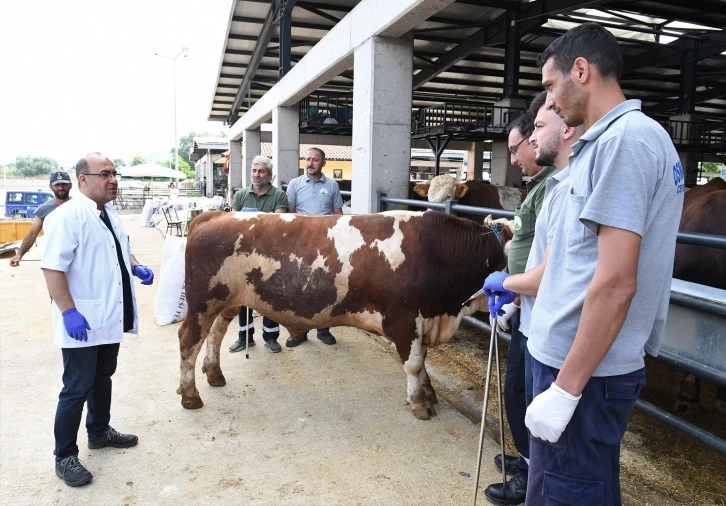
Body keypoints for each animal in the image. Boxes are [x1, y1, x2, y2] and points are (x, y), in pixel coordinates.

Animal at [177, 210, 506, 420]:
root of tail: (217, 214)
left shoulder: (422, 320)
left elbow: (423, 360)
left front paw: (429, 393)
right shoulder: (405, 319)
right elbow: (413, 364)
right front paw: (419, 404)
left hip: (227, 302)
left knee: (215, 334)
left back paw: (214, 374)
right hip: (203, 301)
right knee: (188, 341)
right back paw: (190, 395)